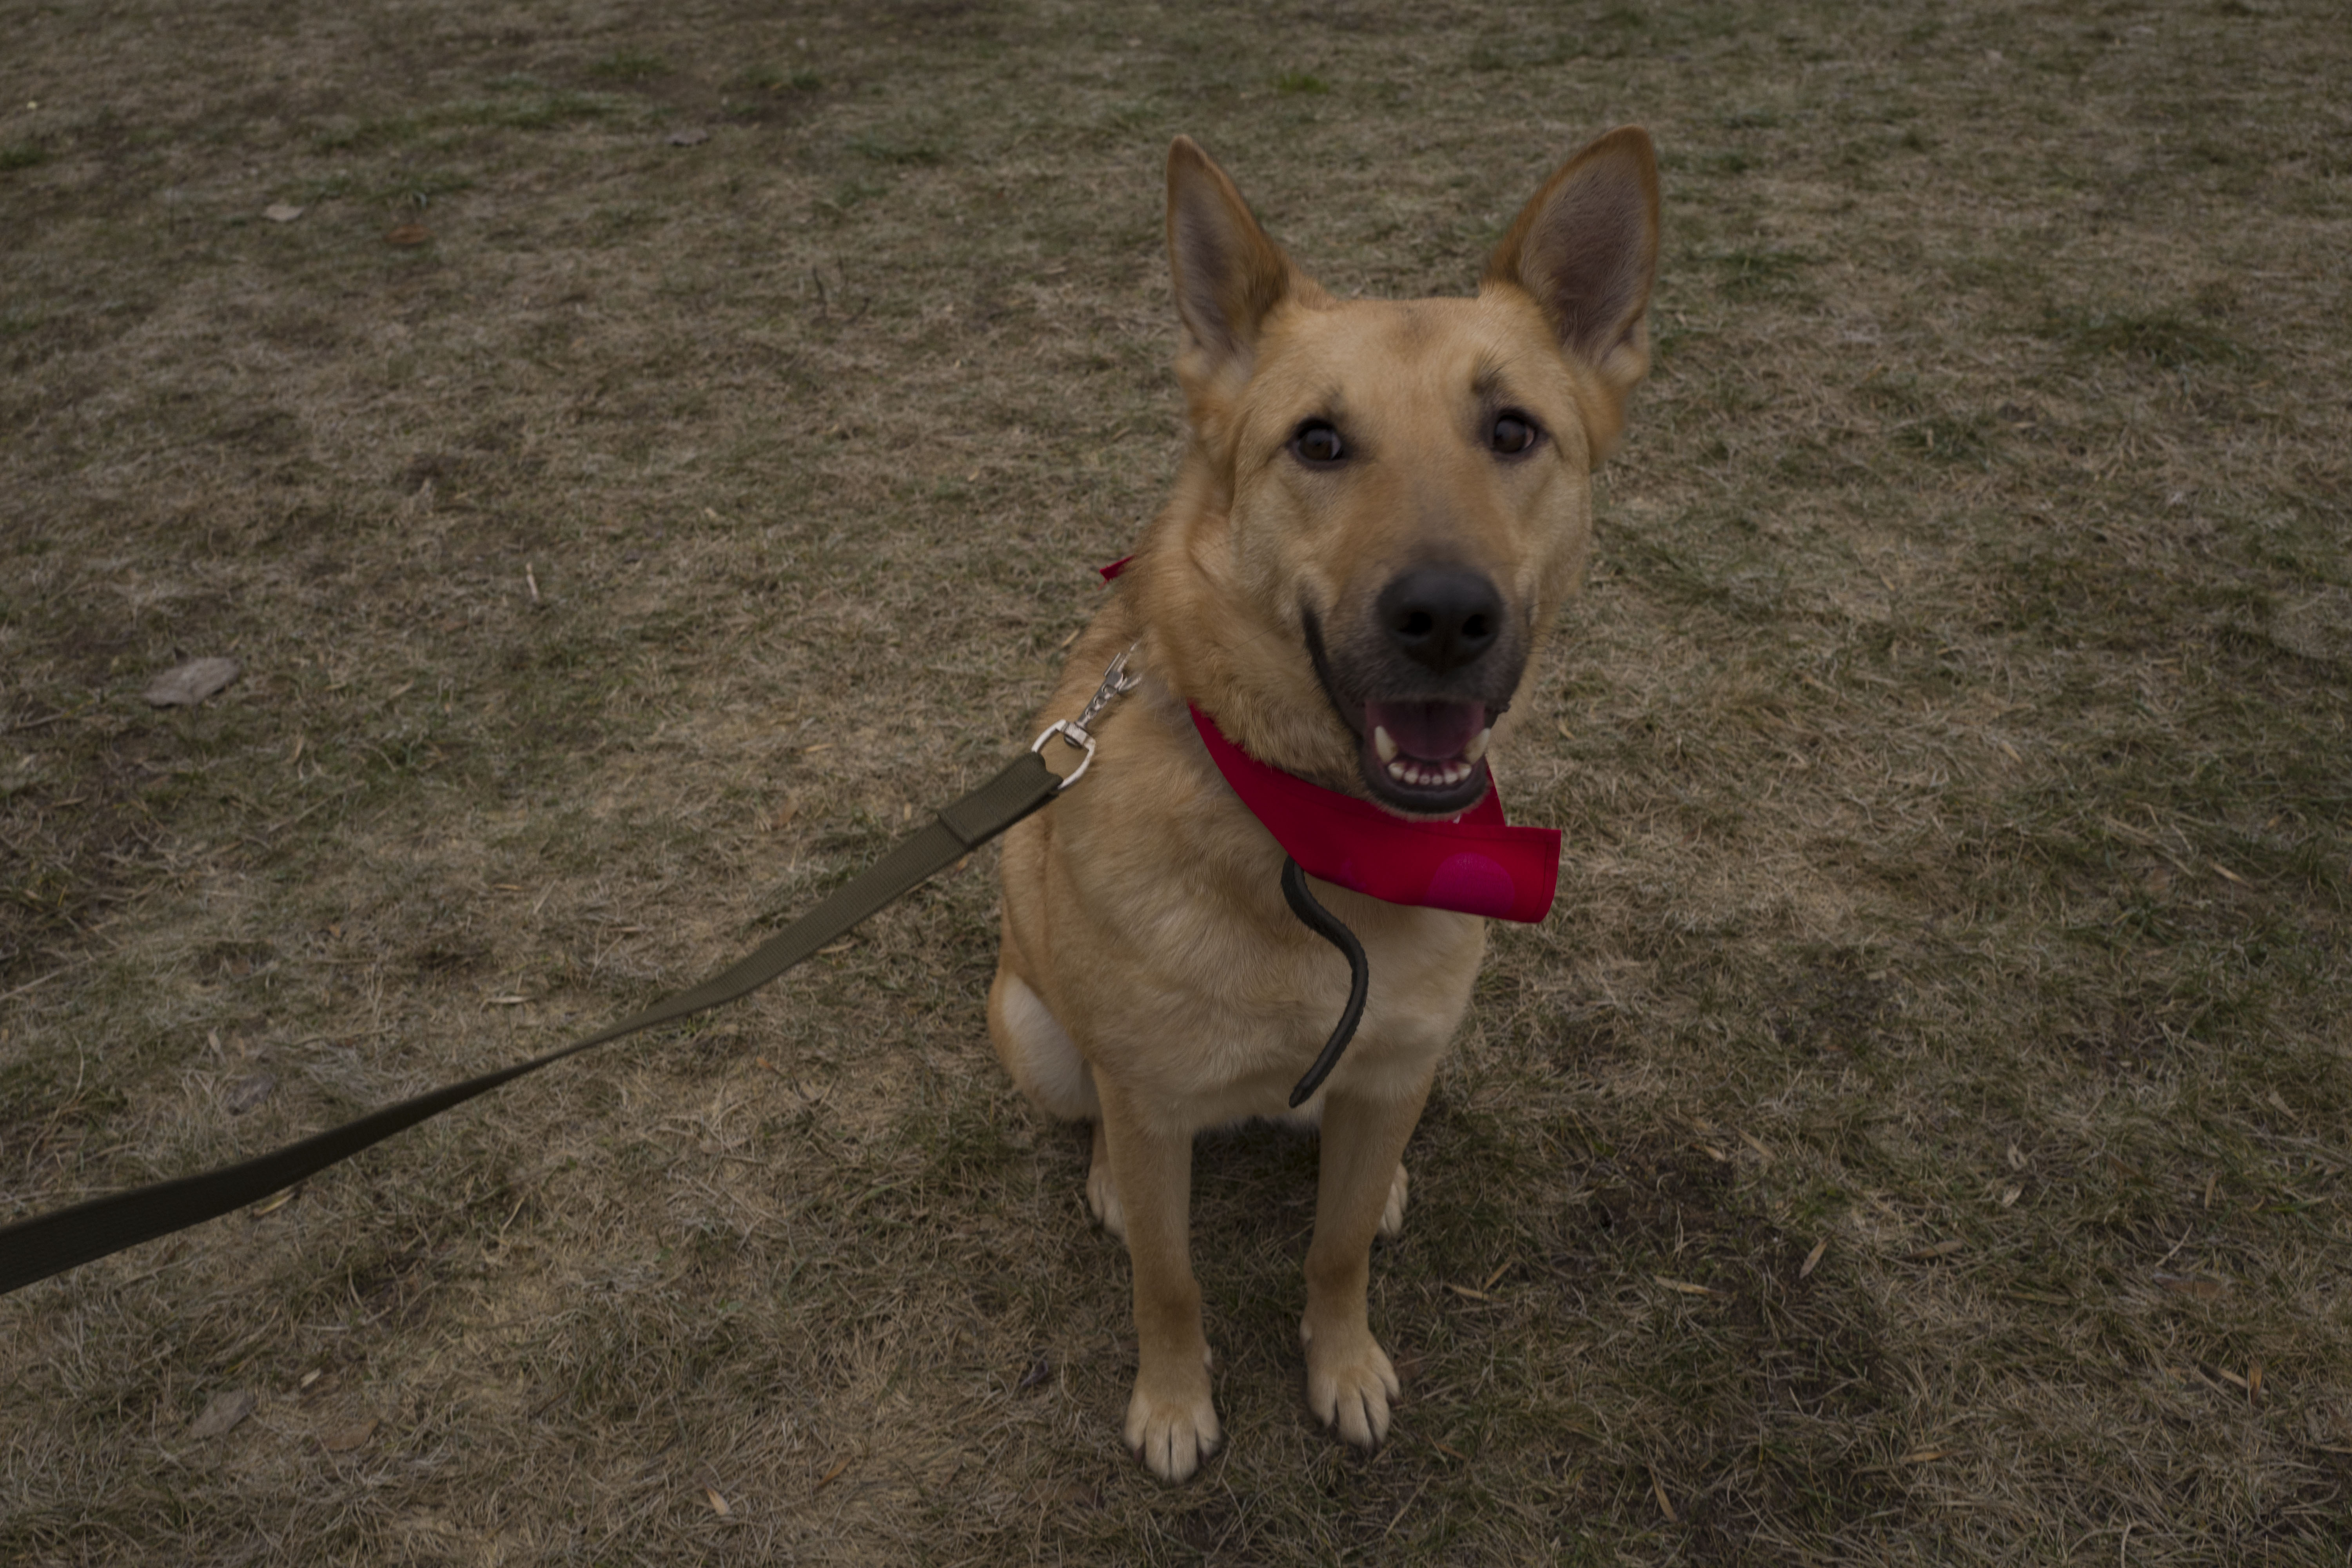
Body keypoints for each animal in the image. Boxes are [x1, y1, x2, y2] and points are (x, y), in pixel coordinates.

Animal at [989, 127, 1659, 1481]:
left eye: (1513, 431)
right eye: (1317, 443)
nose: (1445, 616)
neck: (1318, 844)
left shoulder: (1393, 1071)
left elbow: (1336, 1247)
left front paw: (1340, 1363)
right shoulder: (1151, 1107)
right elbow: (1169, 1277)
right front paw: (1174, 1402)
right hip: (1035, 1030)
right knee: (1095, 1112)